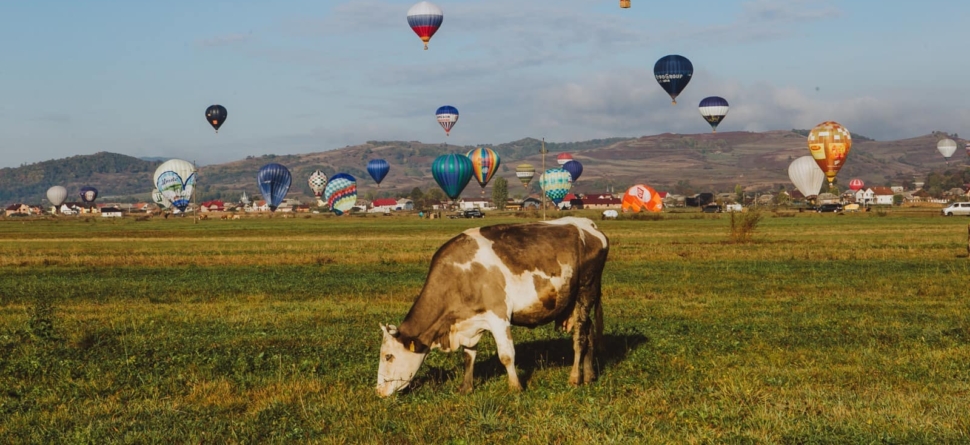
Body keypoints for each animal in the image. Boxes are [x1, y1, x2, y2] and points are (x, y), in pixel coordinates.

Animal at [376, 216, 608, 396]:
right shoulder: (471, 321)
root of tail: (589, 225)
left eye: (388, 356)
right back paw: (589, 375)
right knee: (588, 333)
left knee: (580, 338)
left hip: (585, 291)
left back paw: (575, 377)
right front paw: (466, 387)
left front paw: (515, 387)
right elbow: (469, 355)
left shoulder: (499, 316)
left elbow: (506, 355)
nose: (379, 392)